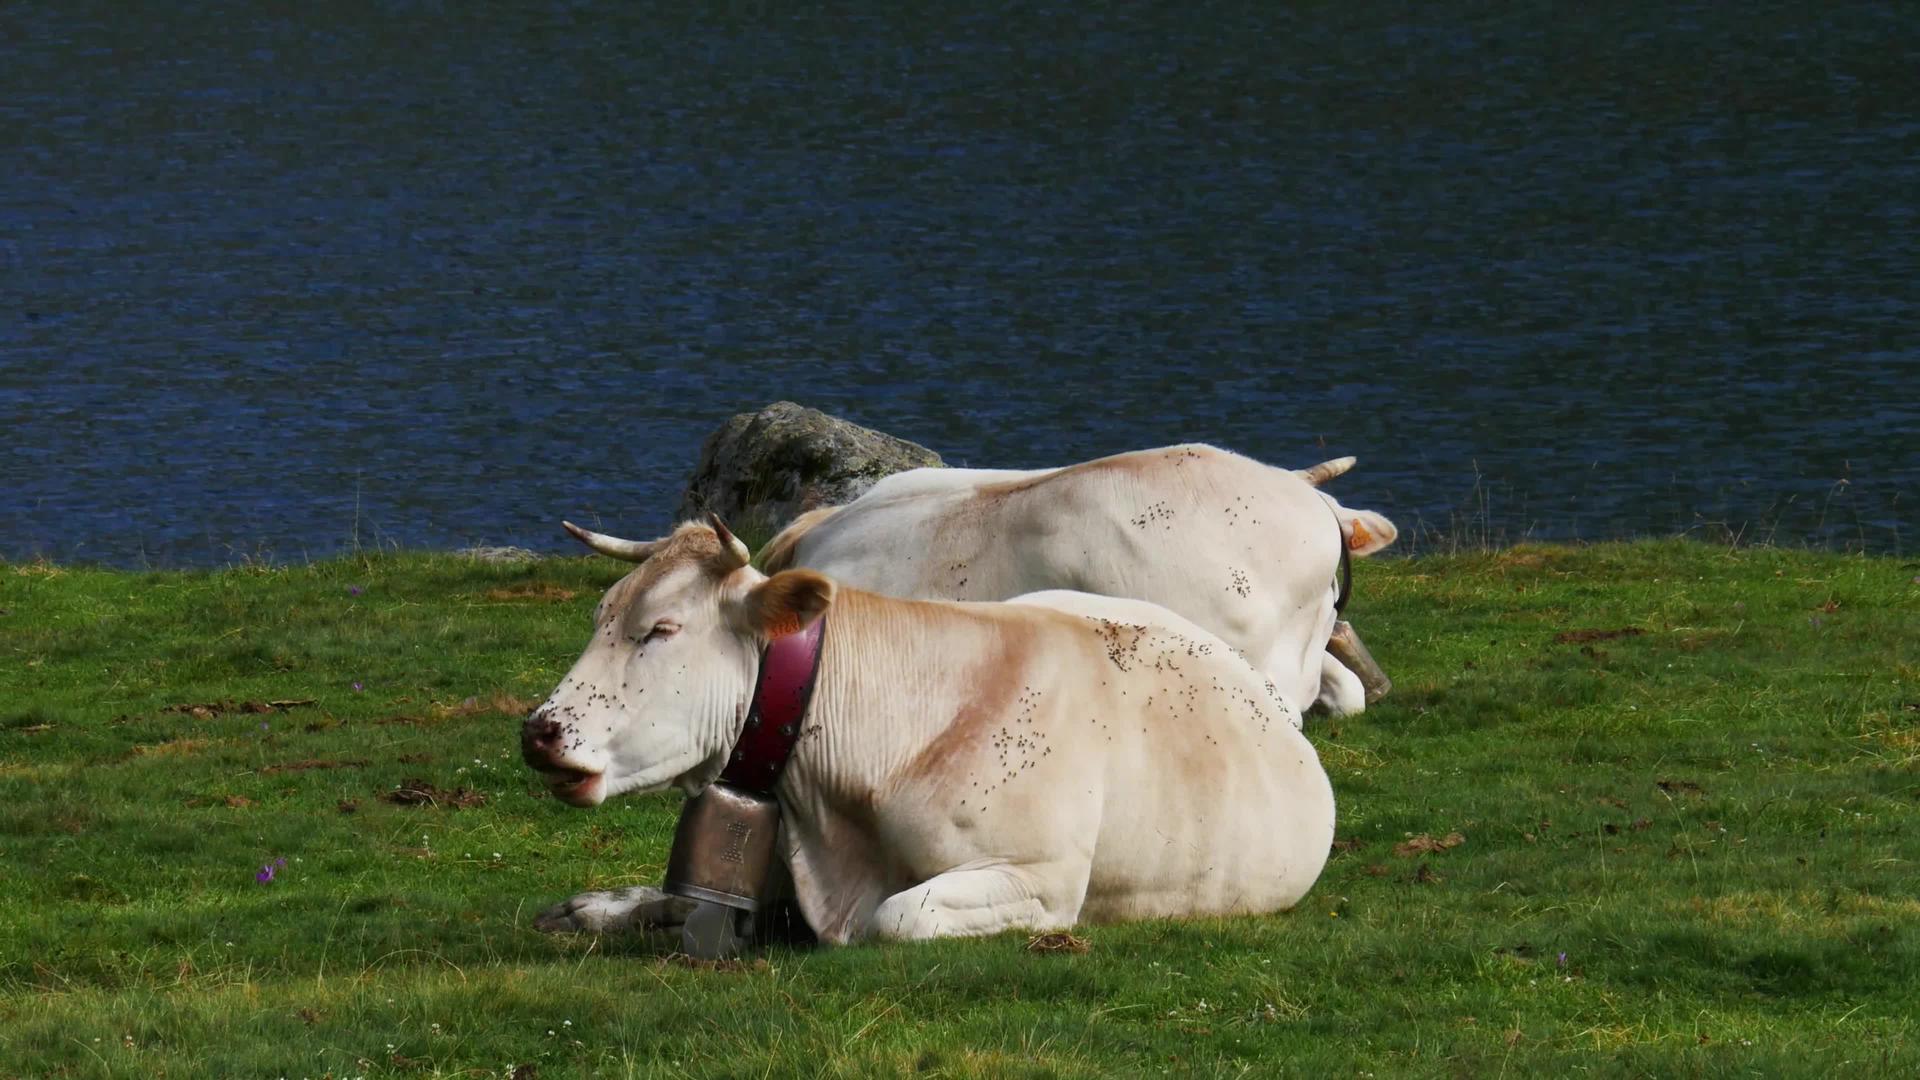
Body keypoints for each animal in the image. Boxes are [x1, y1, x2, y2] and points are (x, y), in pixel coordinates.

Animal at [526, 518, 1336, 937]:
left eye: (661, 629)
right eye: (601, 615)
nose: (540, 730)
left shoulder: (1043, 878)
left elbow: (897, 918)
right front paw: (600, 905)